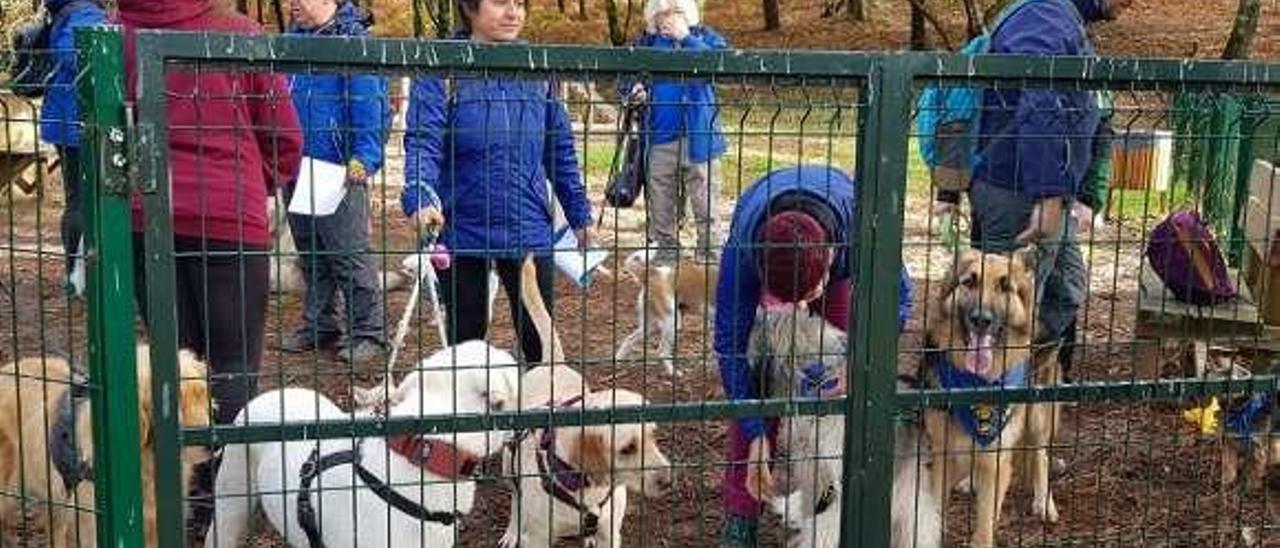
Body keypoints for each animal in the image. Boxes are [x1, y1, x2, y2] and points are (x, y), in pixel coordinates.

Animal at [921, 249, 1059, 548]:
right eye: (969, 282)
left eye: (1005, 287)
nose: (981, 320)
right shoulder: (942, 453)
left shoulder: (996, 463)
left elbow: (984, 528)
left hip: (1036, 416)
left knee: (1041, 456)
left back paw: (1044, 502)